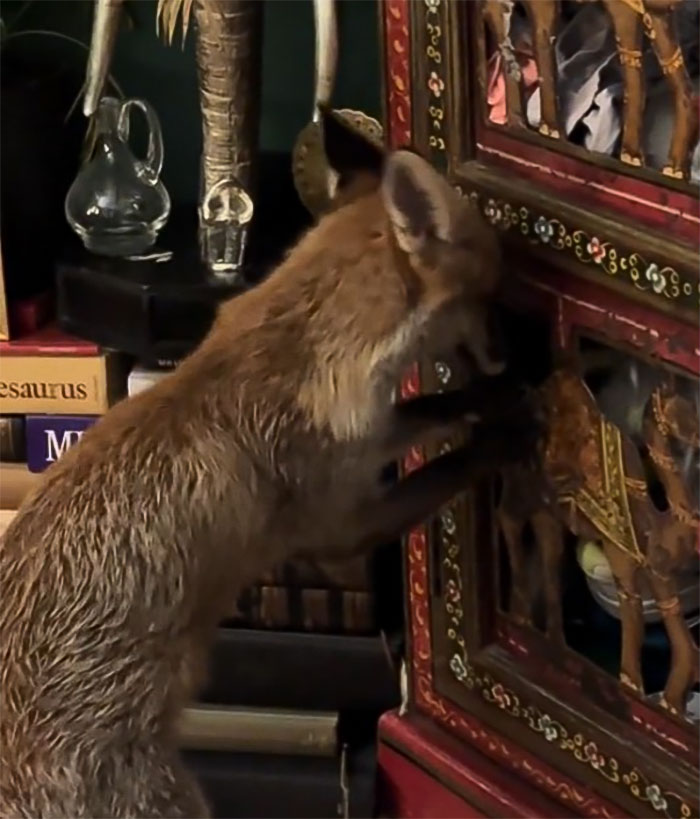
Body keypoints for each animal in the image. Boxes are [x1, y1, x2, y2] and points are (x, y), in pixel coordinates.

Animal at [0, 108, 535, 818]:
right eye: (493, 294)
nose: (512, 354)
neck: (305, 351)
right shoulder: (343, 525)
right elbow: (446, 463)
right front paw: (508, 428)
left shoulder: (370, 441)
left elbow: (430, 408)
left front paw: (495, 401)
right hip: (170, 798)